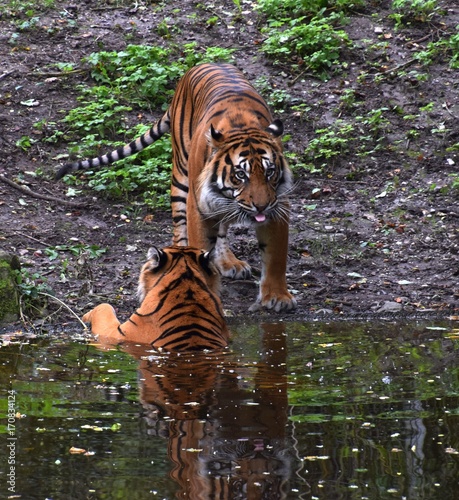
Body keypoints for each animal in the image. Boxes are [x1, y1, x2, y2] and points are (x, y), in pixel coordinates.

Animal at [56, 64, 298, 310]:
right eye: (241, 175)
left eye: (269, 172)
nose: (261, 207)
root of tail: (198, 67)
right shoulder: (198, 206)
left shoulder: (278, 205)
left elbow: (275, 257)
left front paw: (277, 297)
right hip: (181, 175)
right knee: (180, 229)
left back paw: (228, 262)